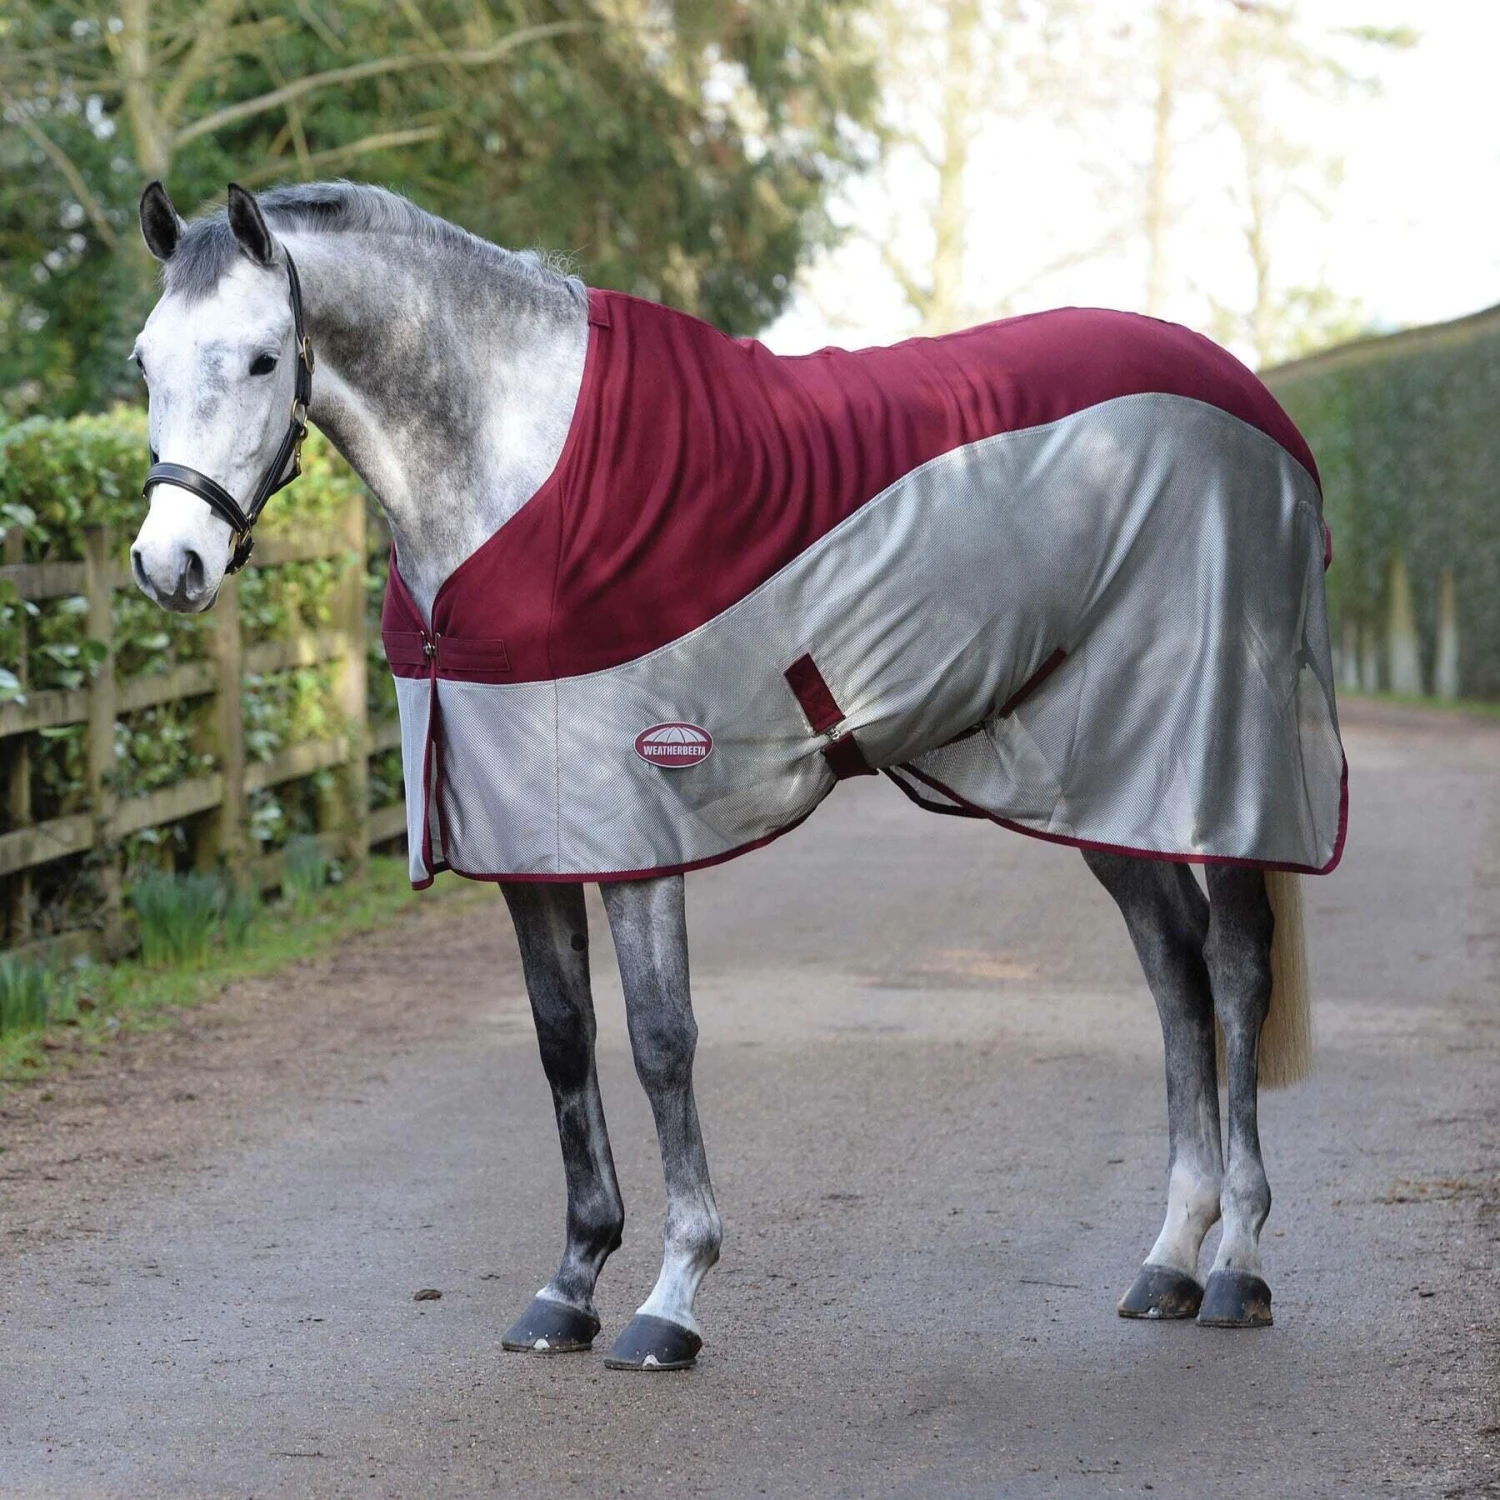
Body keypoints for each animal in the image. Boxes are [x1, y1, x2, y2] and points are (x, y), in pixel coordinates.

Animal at [128, 179, 1340, 1372]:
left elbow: (662, 1042)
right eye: (144, 360)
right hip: (1099, 774)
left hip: (1217, 752)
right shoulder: (524, 835)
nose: (165, 564)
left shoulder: (637, 826)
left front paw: (672, 1298)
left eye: (263, 360)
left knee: (1233, 968)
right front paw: (569, 1287)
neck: (521, 477)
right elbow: (562, 1039)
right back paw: (1169, 1262)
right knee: (1173, 967)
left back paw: (1237, 1266)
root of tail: (1254, 406)